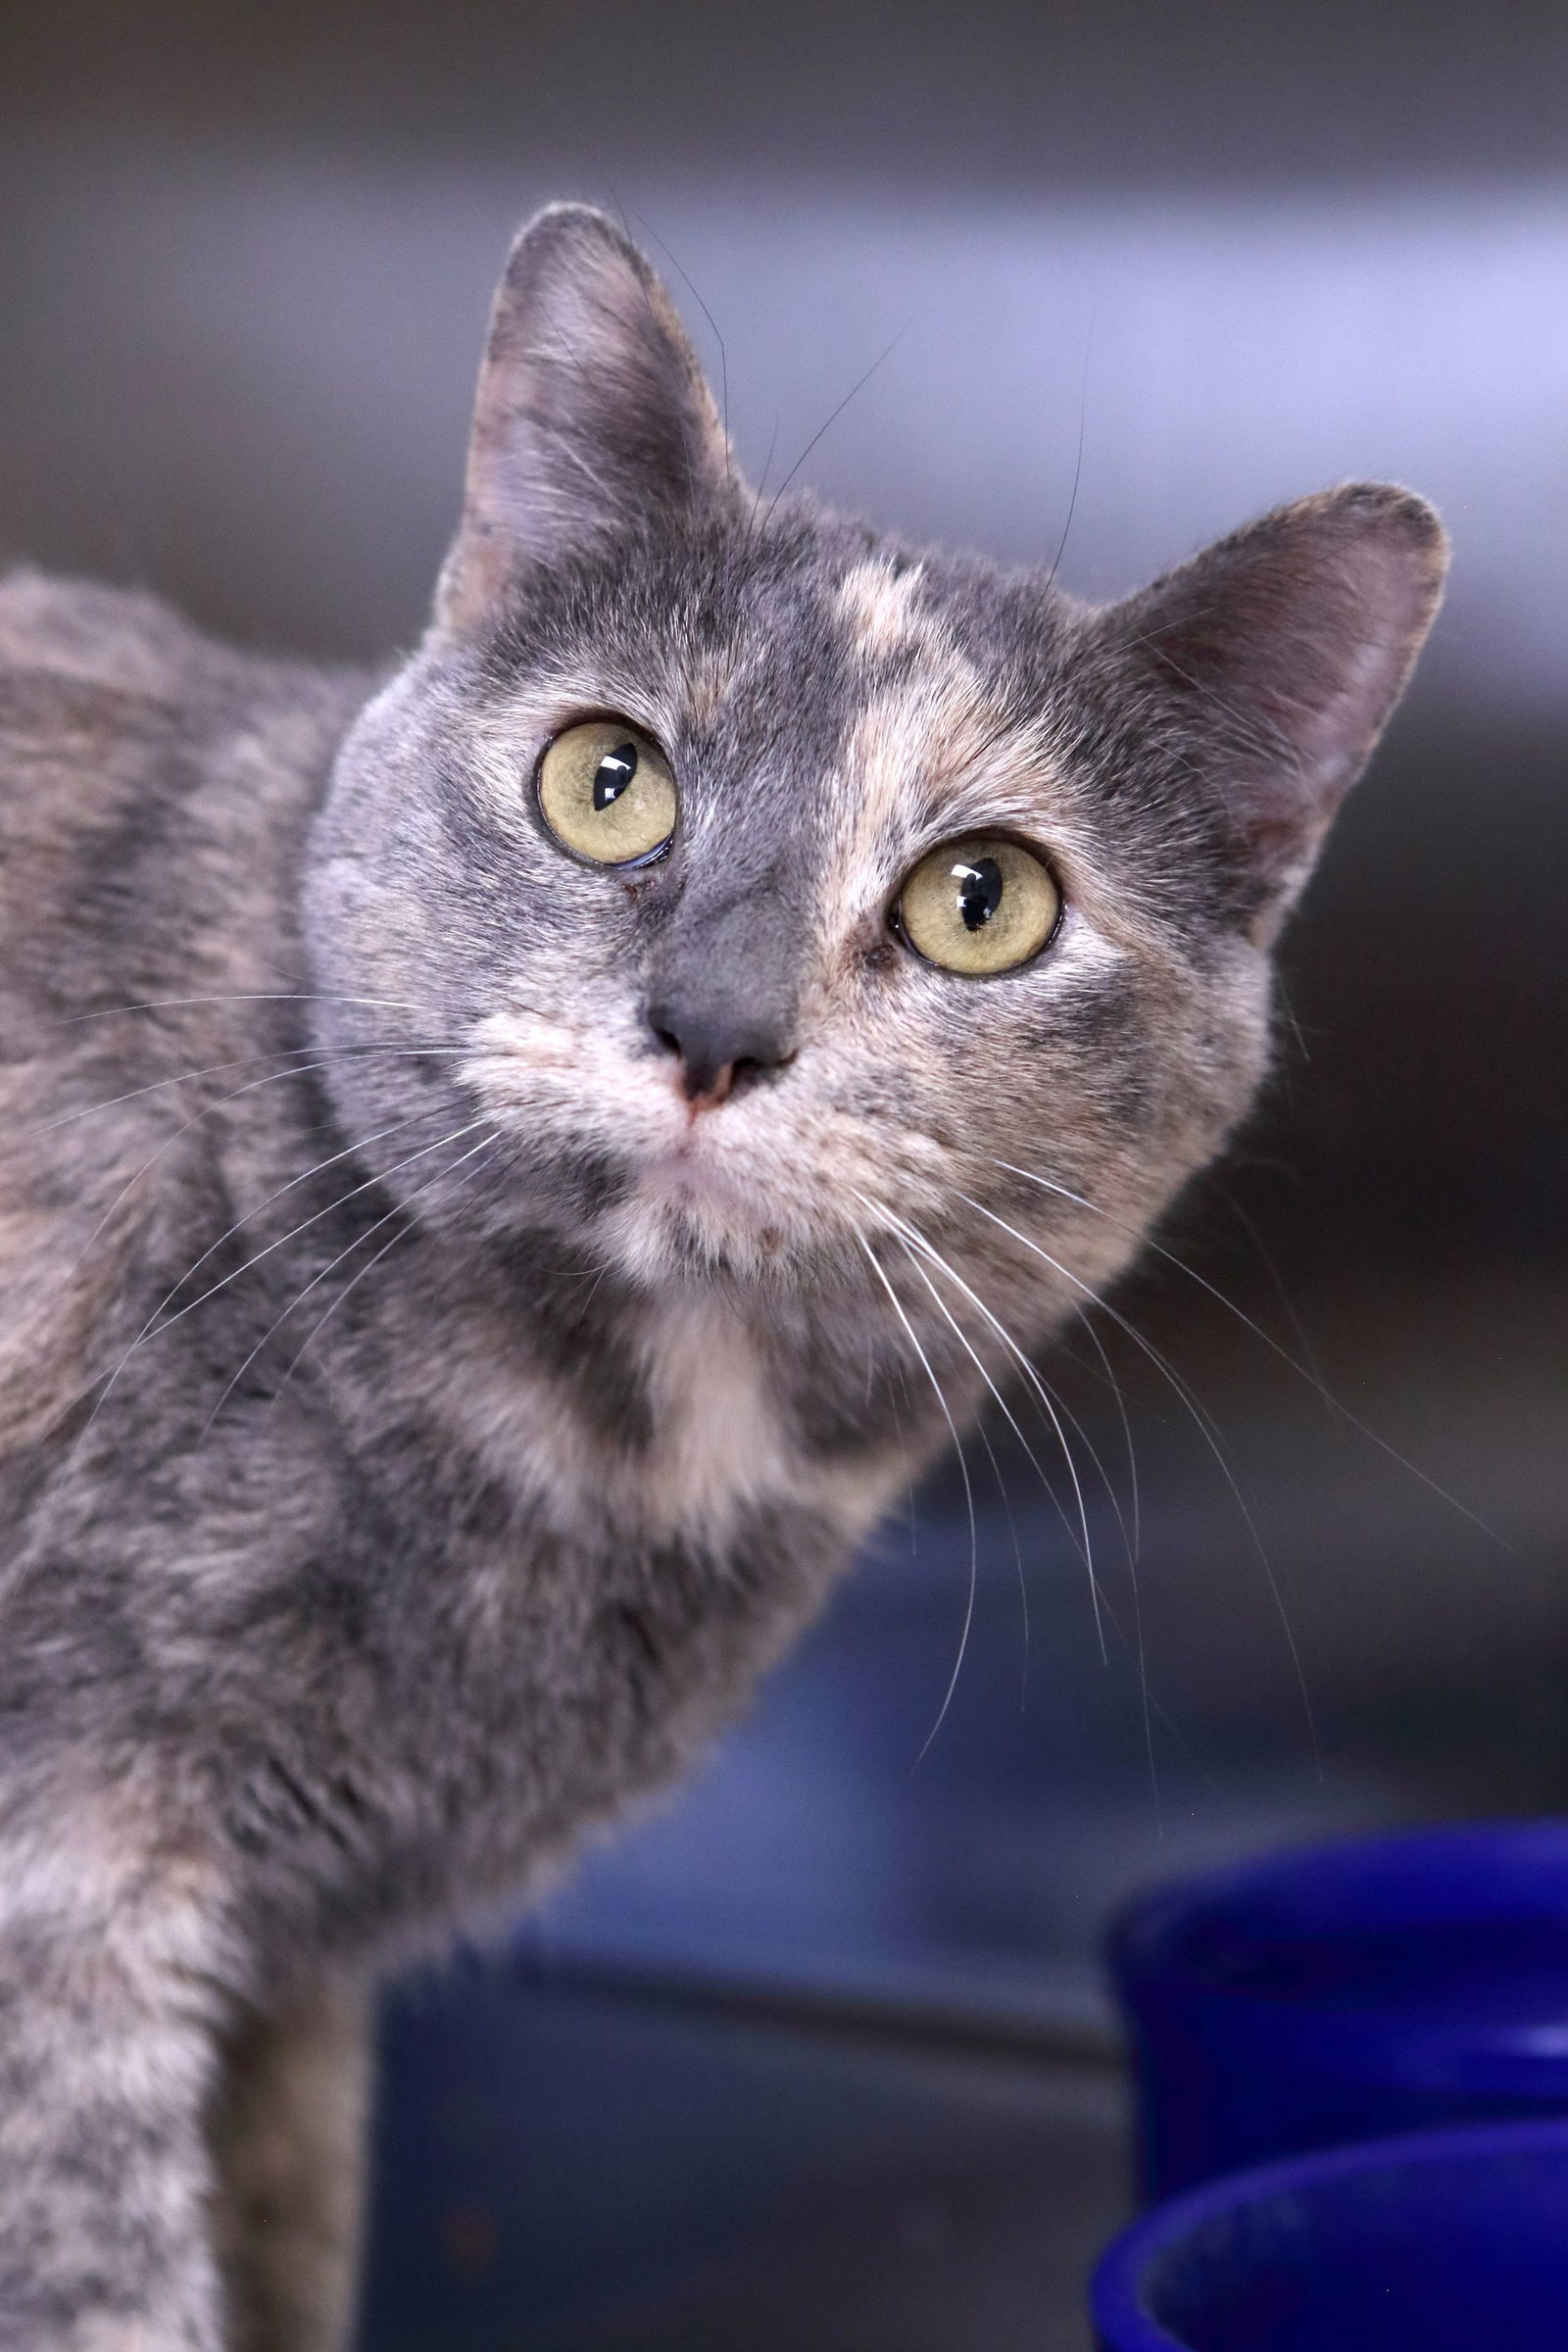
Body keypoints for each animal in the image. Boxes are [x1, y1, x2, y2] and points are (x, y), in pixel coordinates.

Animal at [0, 207, 1447, 2352]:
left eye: (983, 900)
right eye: (608, 781)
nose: (714, 1029)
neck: (633, 1433)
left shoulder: (282, 1981)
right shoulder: (64, 1886)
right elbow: (109, 2294)